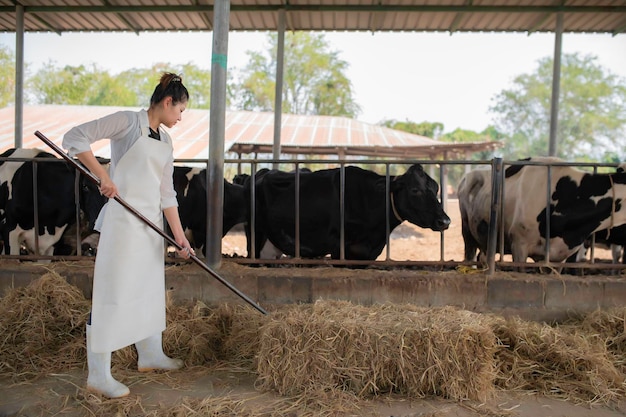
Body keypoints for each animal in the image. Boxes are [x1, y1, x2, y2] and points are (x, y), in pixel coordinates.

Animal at [240, 163, 448, 258]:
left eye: (436, 188)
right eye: (415, 190)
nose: (445, 221)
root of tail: (262, 172)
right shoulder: (338, 248)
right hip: (254, 233)